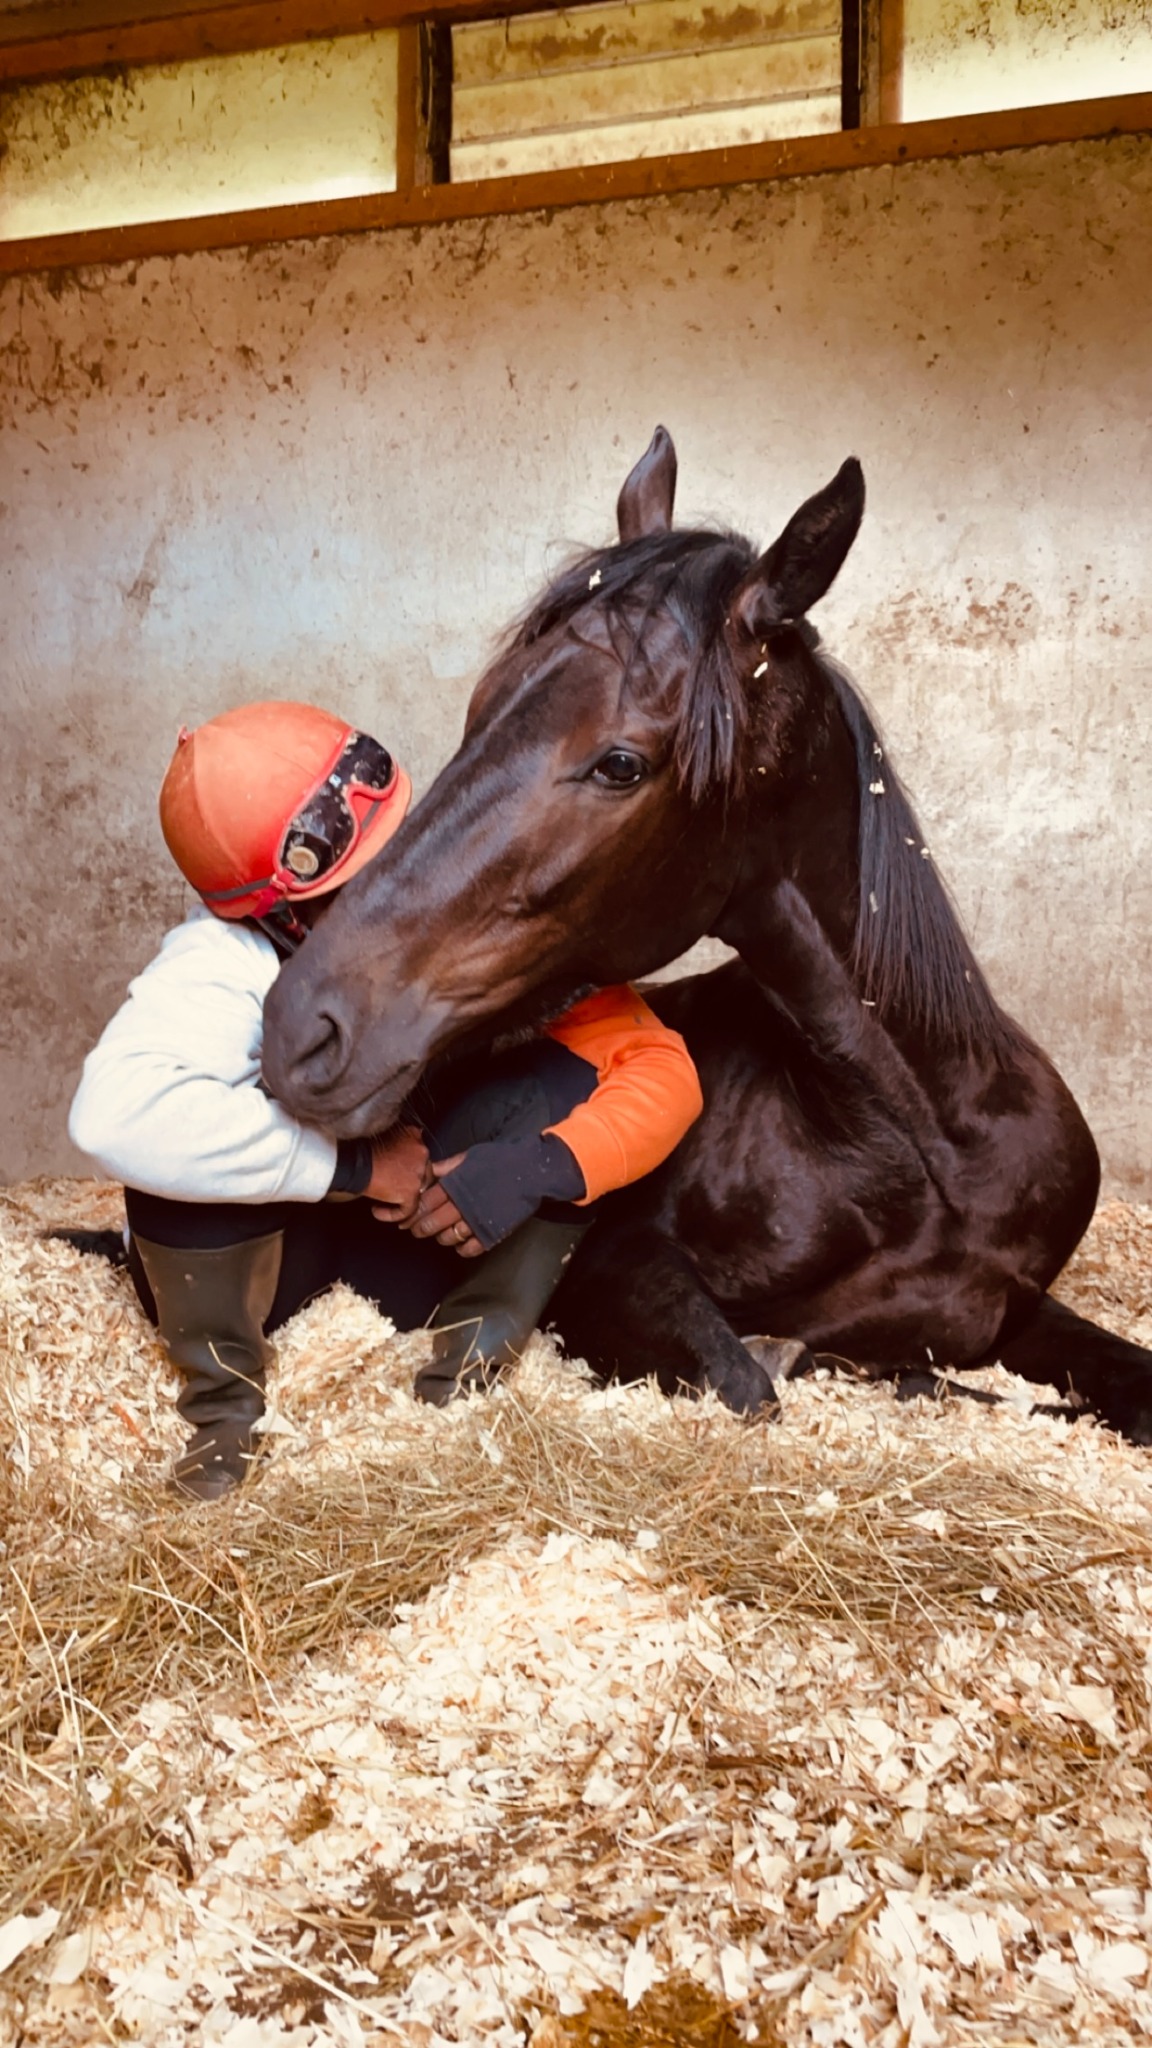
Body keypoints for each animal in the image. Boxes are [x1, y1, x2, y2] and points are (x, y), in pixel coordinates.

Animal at [261, 429, 1152, 1442]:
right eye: (481, 705)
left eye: (619, 763)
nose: (299, 1025)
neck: (929, 1149)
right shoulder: (616, 1274)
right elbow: (750, 1380)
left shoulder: (1013, 1304)